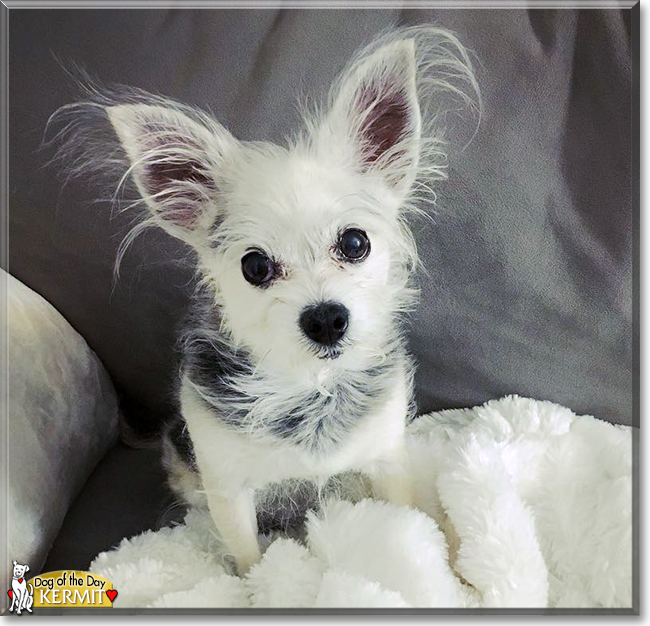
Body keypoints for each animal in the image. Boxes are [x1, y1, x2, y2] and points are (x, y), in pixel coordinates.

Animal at [55, 25, 478, 576]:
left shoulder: (387, 461)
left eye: (355, 242)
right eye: (254, 267)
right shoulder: (228, 490)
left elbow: (410, 517)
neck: (308, 388)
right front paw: (255, 582)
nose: (326, 318)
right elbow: (248, 556)